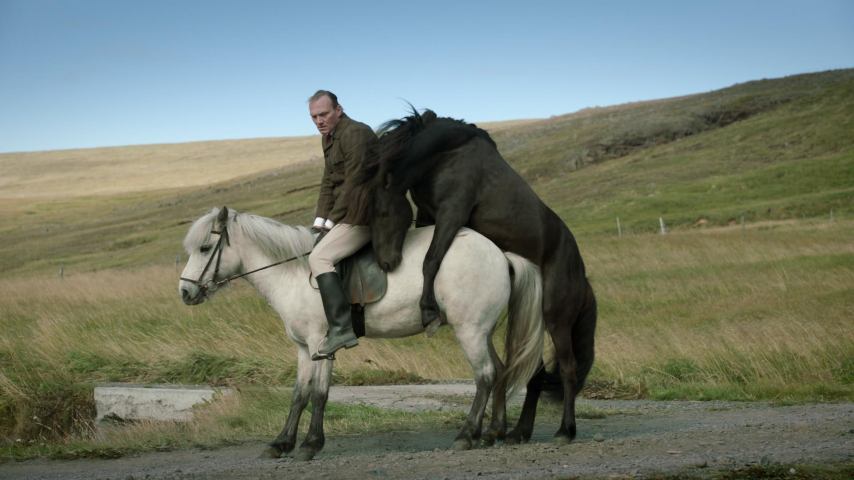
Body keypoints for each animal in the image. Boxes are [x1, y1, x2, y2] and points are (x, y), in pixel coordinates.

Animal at [177, 207, 544, 462]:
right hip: (482, 331)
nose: (184, 292)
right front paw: (281, 443)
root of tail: (500, 253)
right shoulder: (302, 349)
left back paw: (467, 435)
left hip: (470, 330)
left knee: (485, 376)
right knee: (501, 371)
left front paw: (310, 445)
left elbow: (319, 394)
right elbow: (298, 395)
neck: (293, 273)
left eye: (205, 247)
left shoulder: (321, 344)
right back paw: (493, 432)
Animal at [372, 109, 600, 446]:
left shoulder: (451, 213)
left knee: (568, 369)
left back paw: (564, 431)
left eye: (382, 213)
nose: (387, 262)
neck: (446, 153)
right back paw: (516, 432)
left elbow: (430, 260)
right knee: (534, 375)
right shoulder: (428, 215)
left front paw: (428, 310)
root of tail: (582, 277)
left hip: (556, 320)